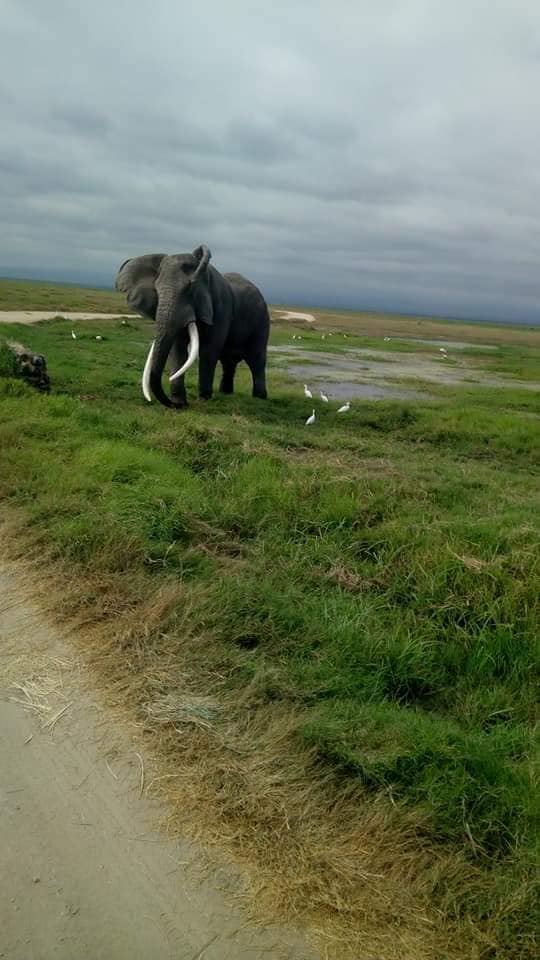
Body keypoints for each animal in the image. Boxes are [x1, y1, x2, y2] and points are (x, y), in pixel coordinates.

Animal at [116, 246, 272, 406]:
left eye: (189, 289)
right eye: (156, 291)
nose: (172, 404)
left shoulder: (220, 307)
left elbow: (209, 350)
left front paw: (203, 399)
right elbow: (178, 349)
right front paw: (179, 402)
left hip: (262, 322)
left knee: (257, 360)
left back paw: (259, 397)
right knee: (228, 362)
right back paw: (225, 393)